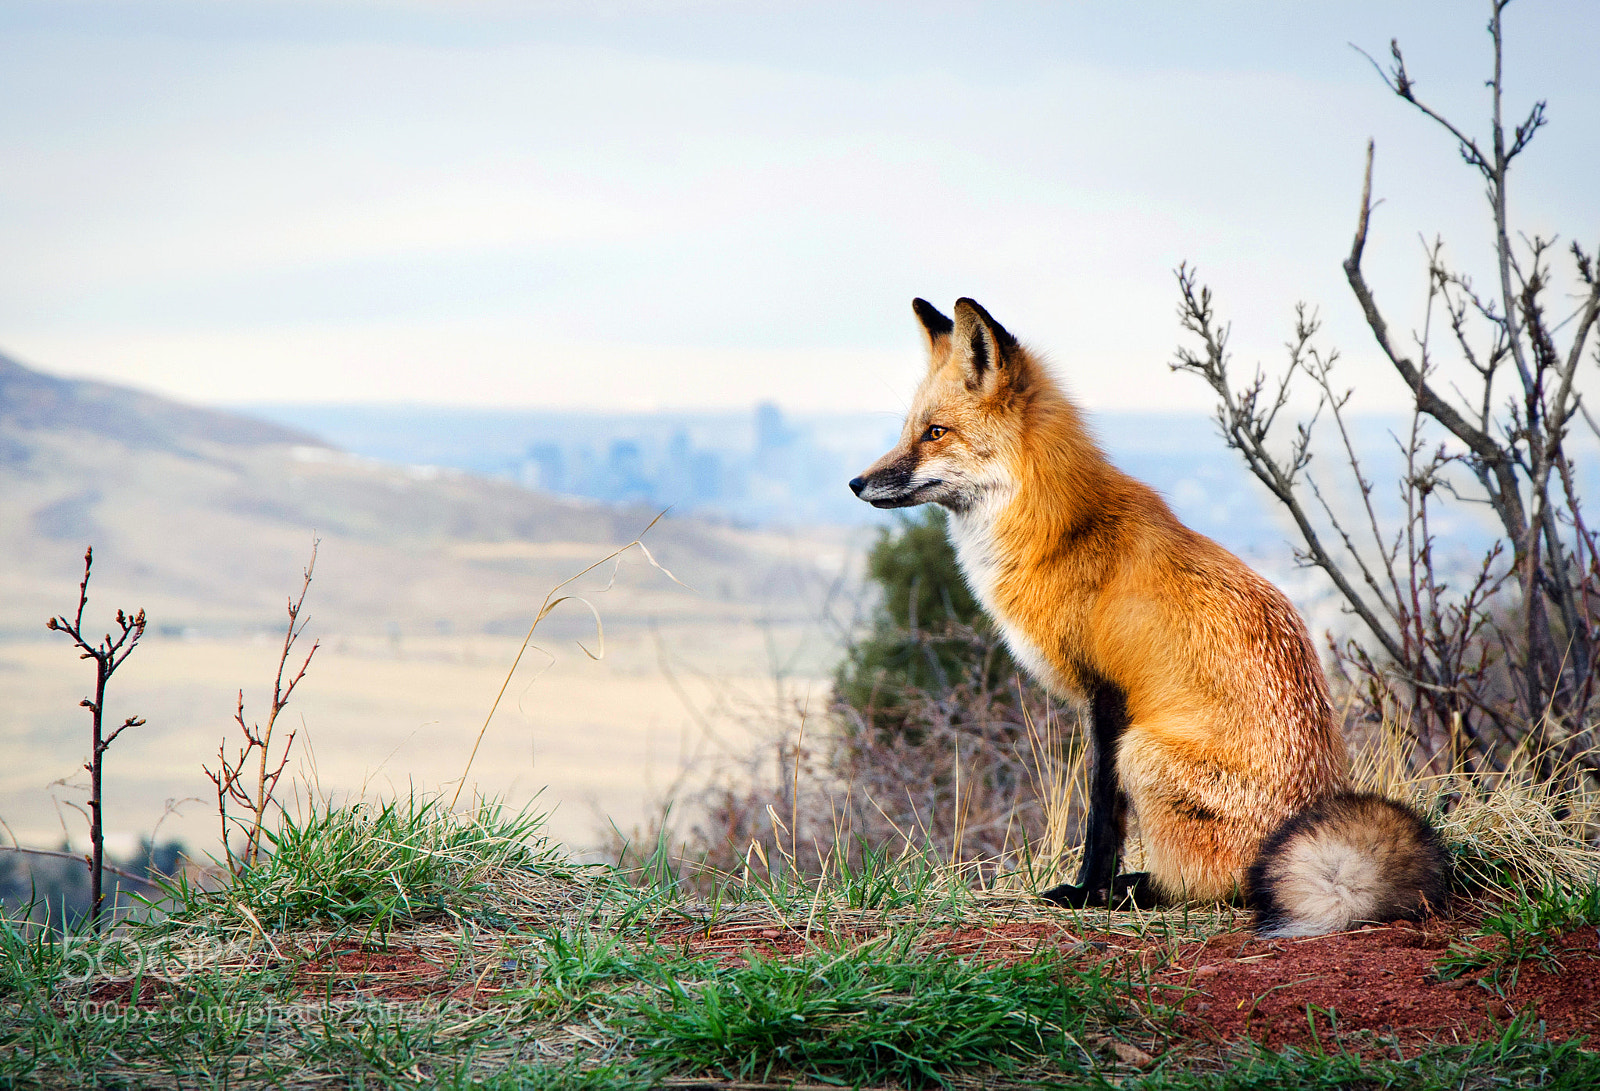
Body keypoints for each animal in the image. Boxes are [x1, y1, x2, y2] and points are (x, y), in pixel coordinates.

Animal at [849, 297, 1449, 936]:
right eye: (909, 429)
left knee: (1210, 889)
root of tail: (1300, 821)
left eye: (935, 432)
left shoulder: (1108, 698)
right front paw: (1094, 890)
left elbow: (1102, 819)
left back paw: (1134, 893)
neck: (1061, 532)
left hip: (1143, 751)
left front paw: (1087, 893)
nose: (856, 483)